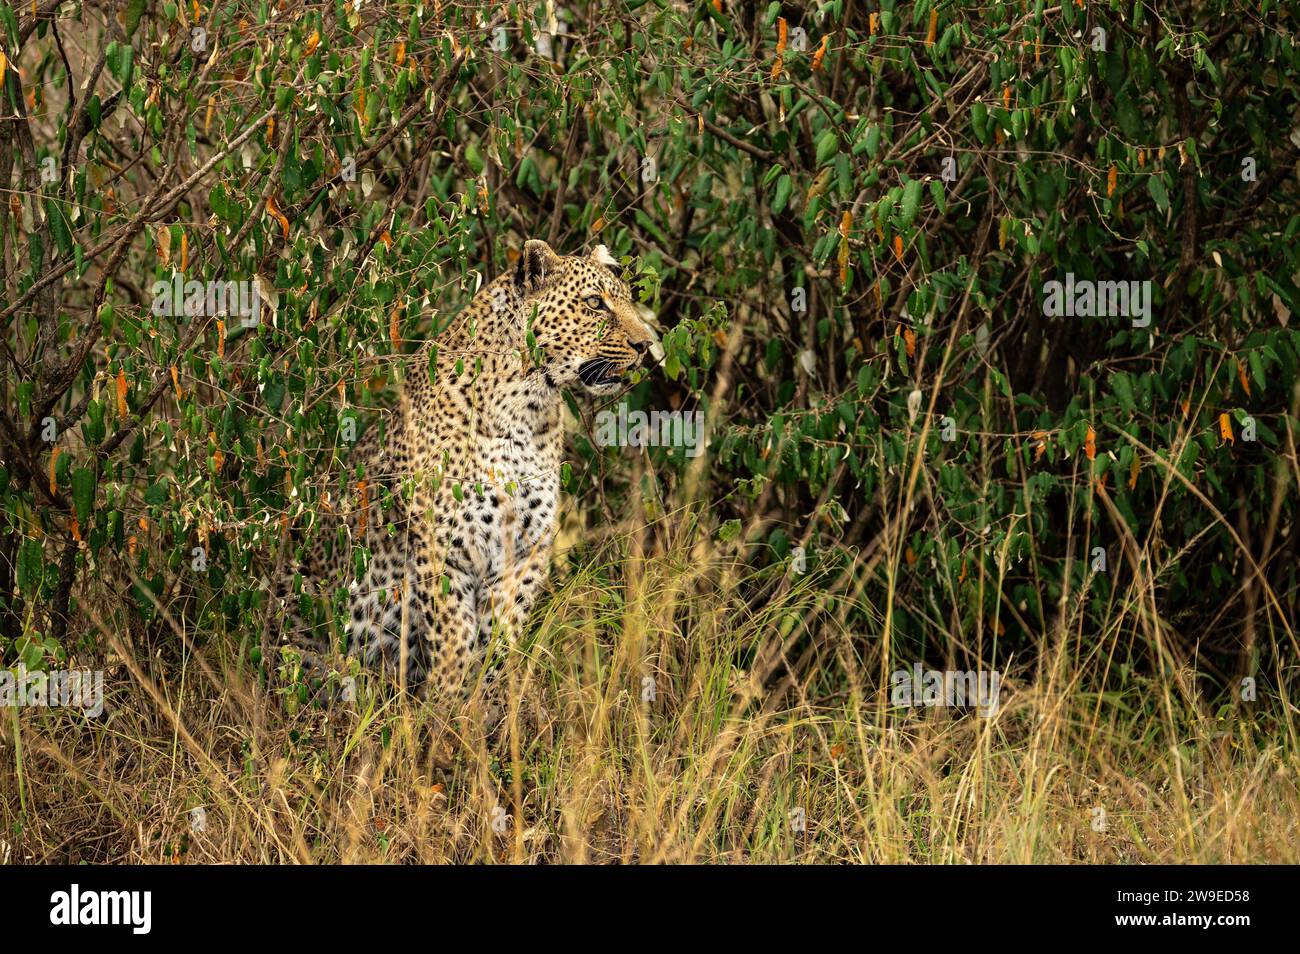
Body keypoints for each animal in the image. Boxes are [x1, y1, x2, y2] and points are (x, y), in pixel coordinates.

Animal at [274, 239, 660, 701]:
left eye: (627, 300)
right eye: (594, 303)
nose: (646, 345)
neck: (527, 407)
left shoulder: (526, 550)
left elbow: (500, 638)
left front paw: (484, 705)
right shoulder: (442, 545)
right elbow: (453, 635)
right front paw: (445, 706)